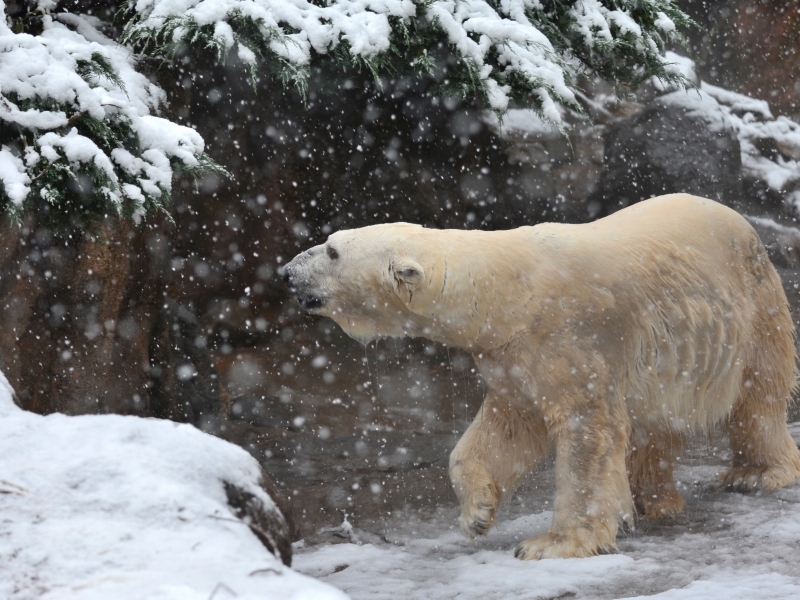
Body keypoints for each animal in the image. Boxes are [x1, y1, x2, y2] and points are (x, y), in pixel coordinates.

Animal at [282, 195, 800, 560]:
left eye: (332, 251)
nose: (287, 271)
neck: (510, 292)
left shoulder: (571, 336)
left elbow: (586, 431)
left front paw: (553, 543)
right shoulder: (510, 355)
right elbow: (504, 428)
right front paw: (477, 515)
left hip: (754, 307)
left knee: (759, 396)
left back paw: (756, 473)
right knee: (655, 424)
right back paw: (650, 502)